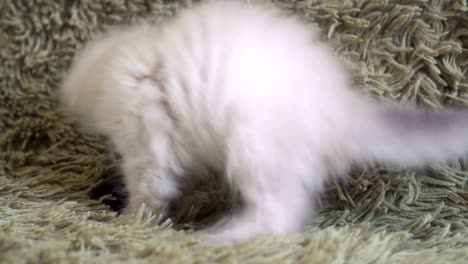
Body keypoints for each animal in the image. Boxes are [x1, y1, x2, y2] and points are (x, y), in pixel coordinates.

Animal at [60, 0, 468, 243]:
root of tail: (345, 108)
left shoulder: (147, 138)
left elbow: (148, 192)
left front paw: (130, 221)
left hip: (253, 144)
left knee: (279, 216)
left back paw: (216, 236)